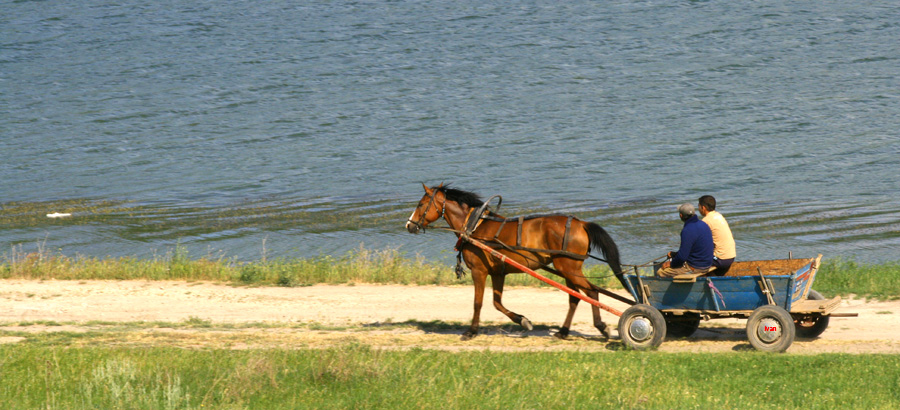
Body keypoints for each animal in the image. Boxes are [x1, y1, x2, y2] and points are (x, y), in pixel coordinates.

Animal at [405, 183, 625, 340]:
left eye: (420, 205)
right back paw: (563, 331)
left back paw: (601, 327)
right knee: (575, 298)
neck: (475, 227)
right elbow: (497, 303)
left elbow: (478, 302)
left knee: (591, 292)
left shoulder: (479, 271)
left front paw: (471, 331)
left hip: (569, 267)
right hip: (568, 269)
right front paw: (523, 320)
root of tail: (581, 223)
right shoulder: (498, 272)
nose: (409, 225)